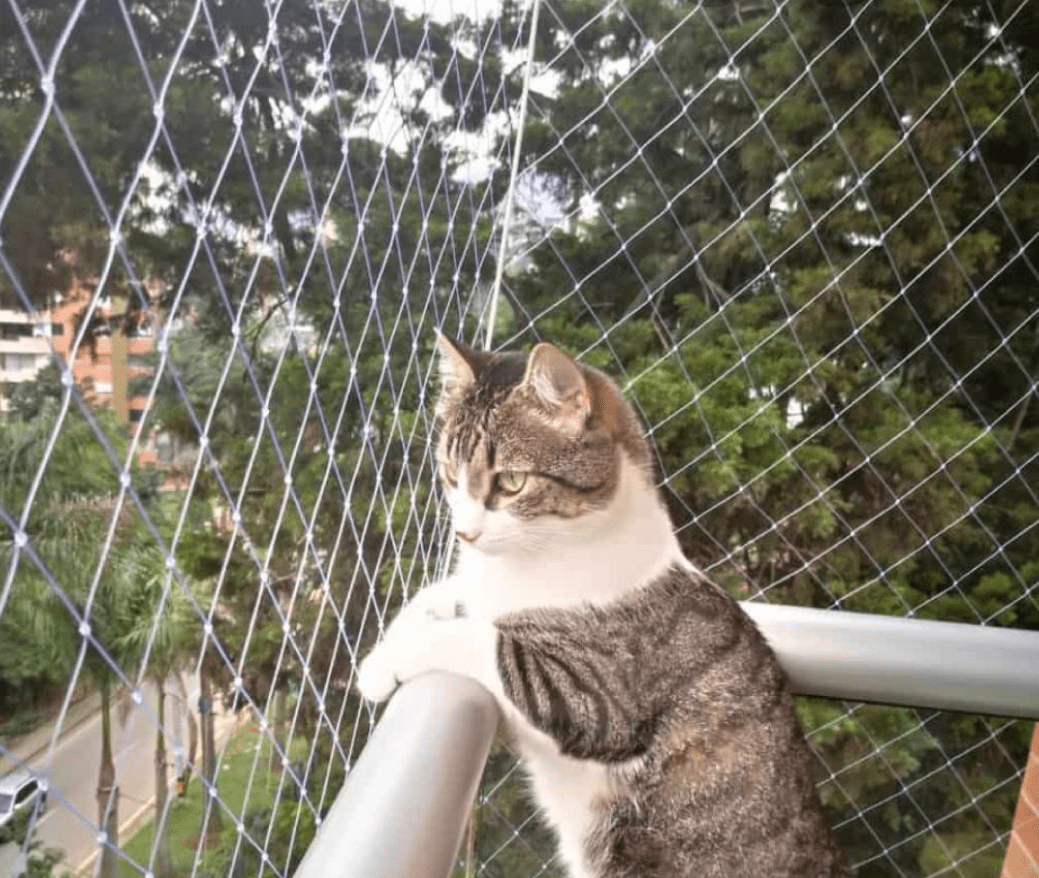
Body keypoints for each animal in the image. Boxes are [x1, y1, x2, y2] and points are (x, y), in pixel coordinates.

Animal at [357, 334, 851, 876]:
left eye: (510, 482)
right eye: (449, 475)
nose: (464, 533)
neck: (528, 563)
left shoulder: (595, 694)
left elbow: (482, 639)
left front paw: (387, 666)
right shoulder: (476, 585)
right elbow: (438, 597)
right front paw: (380, 656)